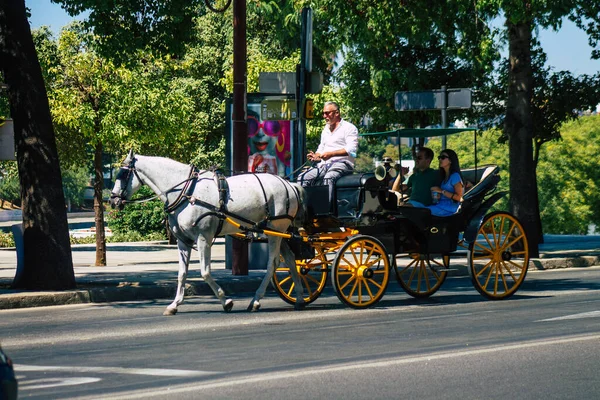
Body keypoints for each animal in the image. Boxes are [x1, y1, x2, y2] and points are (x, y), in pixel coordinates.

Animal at [109, 151, 304, 316]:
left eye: (122, 175)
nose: (112, 200)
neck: (187, 192)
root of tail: (290, 184)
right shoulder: (183, 241)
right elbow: (182, 273)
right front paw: (174, 304)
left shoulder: (203, 238)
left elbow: (205, 272)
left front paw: (226, 301)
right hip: (279, 232)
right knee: (290, 259)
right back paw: (300, 299)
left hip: (276, 230)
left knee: (273, 263)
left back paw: (256, 300)